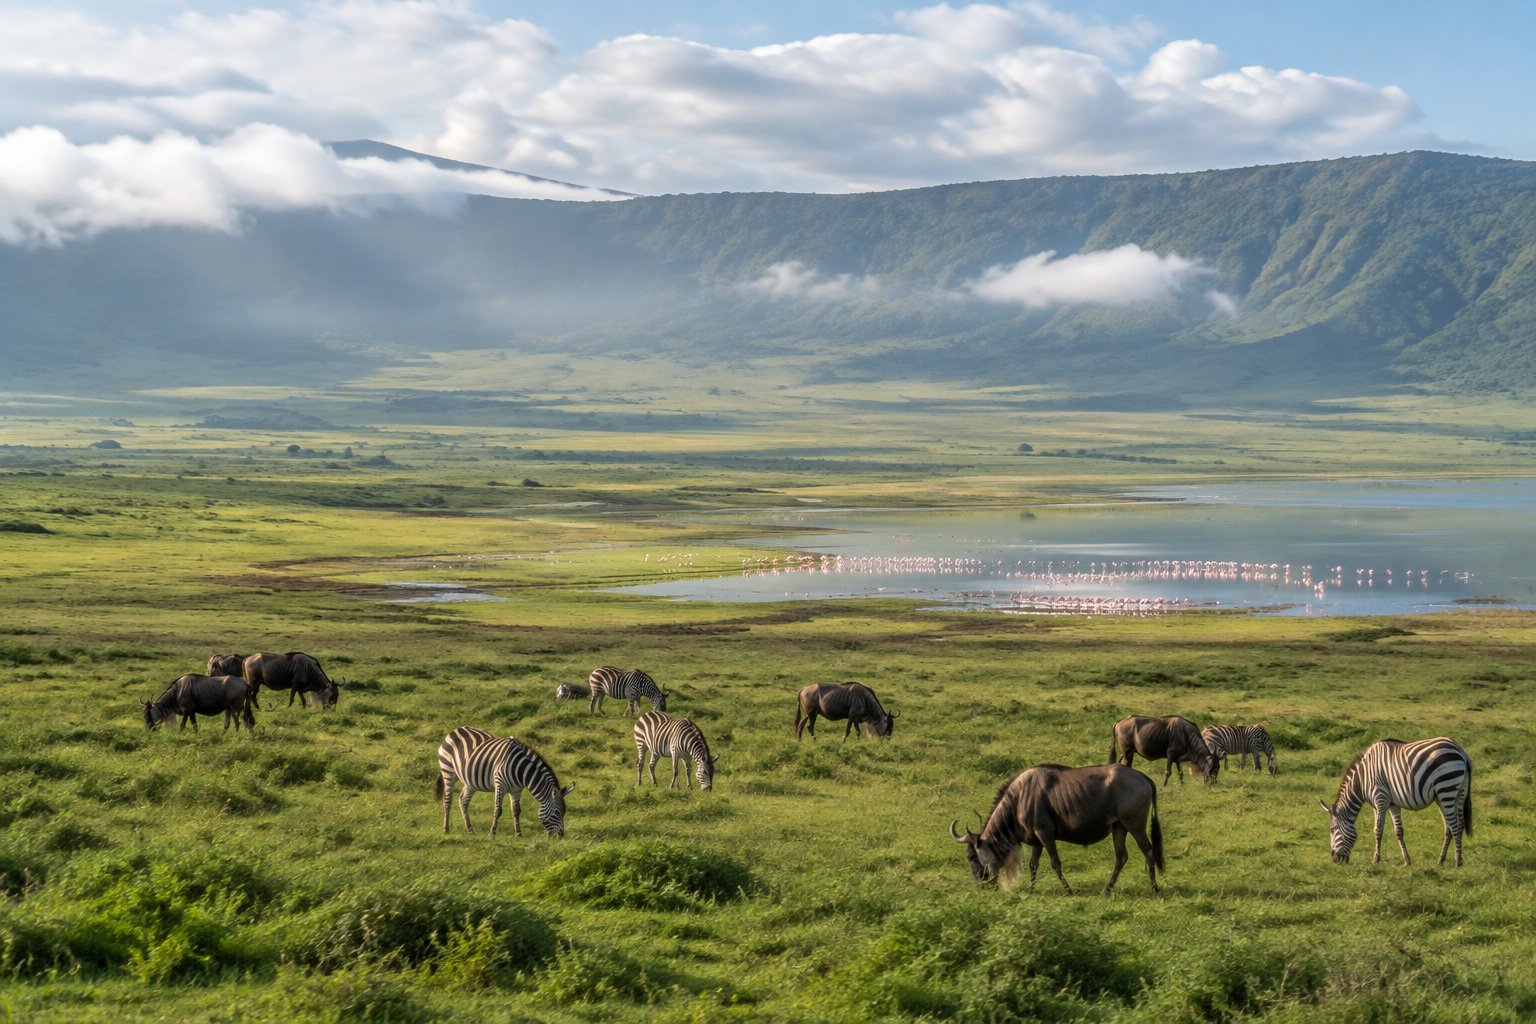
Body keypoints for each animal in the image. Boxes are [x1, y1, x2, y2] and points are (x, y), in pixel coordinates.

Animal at [435, 726, 575, 837]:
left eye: (564, 812)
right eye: (557, 812)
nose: (561, 835)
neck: (521, 771)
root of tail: (456, 729)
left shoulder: (517, 790)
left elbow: (516, 811)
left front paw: (519, 834)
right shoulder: (500, 784)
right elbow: (498, 810)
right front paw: (492, 834)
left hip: (470, 782)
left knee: (463, 800)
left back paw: (470, 830)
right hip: (448, 771)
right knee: (448, 800)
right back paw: (446, 829)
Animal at [1319, 737, 1471, 866]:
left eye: (1332, 829)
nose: (1334, 859)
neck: (1362, 780)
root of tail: (1461, 751)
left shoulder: (1380, 798)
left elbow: (1378, 830)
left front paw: (1376, 859)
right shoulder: (1392, 804)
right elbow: (1398, 831)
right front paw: (1407, 861)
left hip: (1446, 789)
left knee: (1455, 826)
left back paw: (1457, 861)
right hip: (1456, 794)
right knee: (1453, 826)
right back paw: (1441, 861)